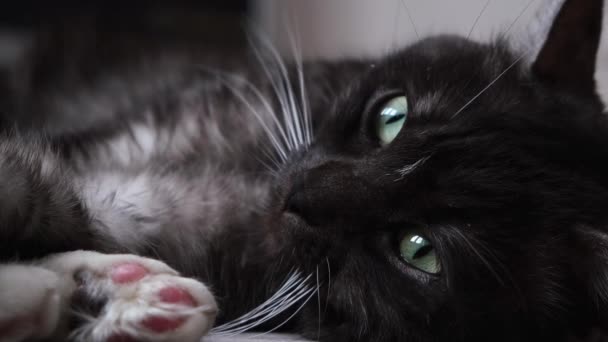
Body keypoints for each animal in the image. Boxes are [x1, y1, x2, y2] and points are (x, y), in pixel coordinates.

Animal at [0, 0, 604, 340]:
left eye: (419, 249)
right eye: (391, 117)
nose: (300, 195)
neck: (245, 184)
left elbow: (53, 200)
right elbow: (26, 179)